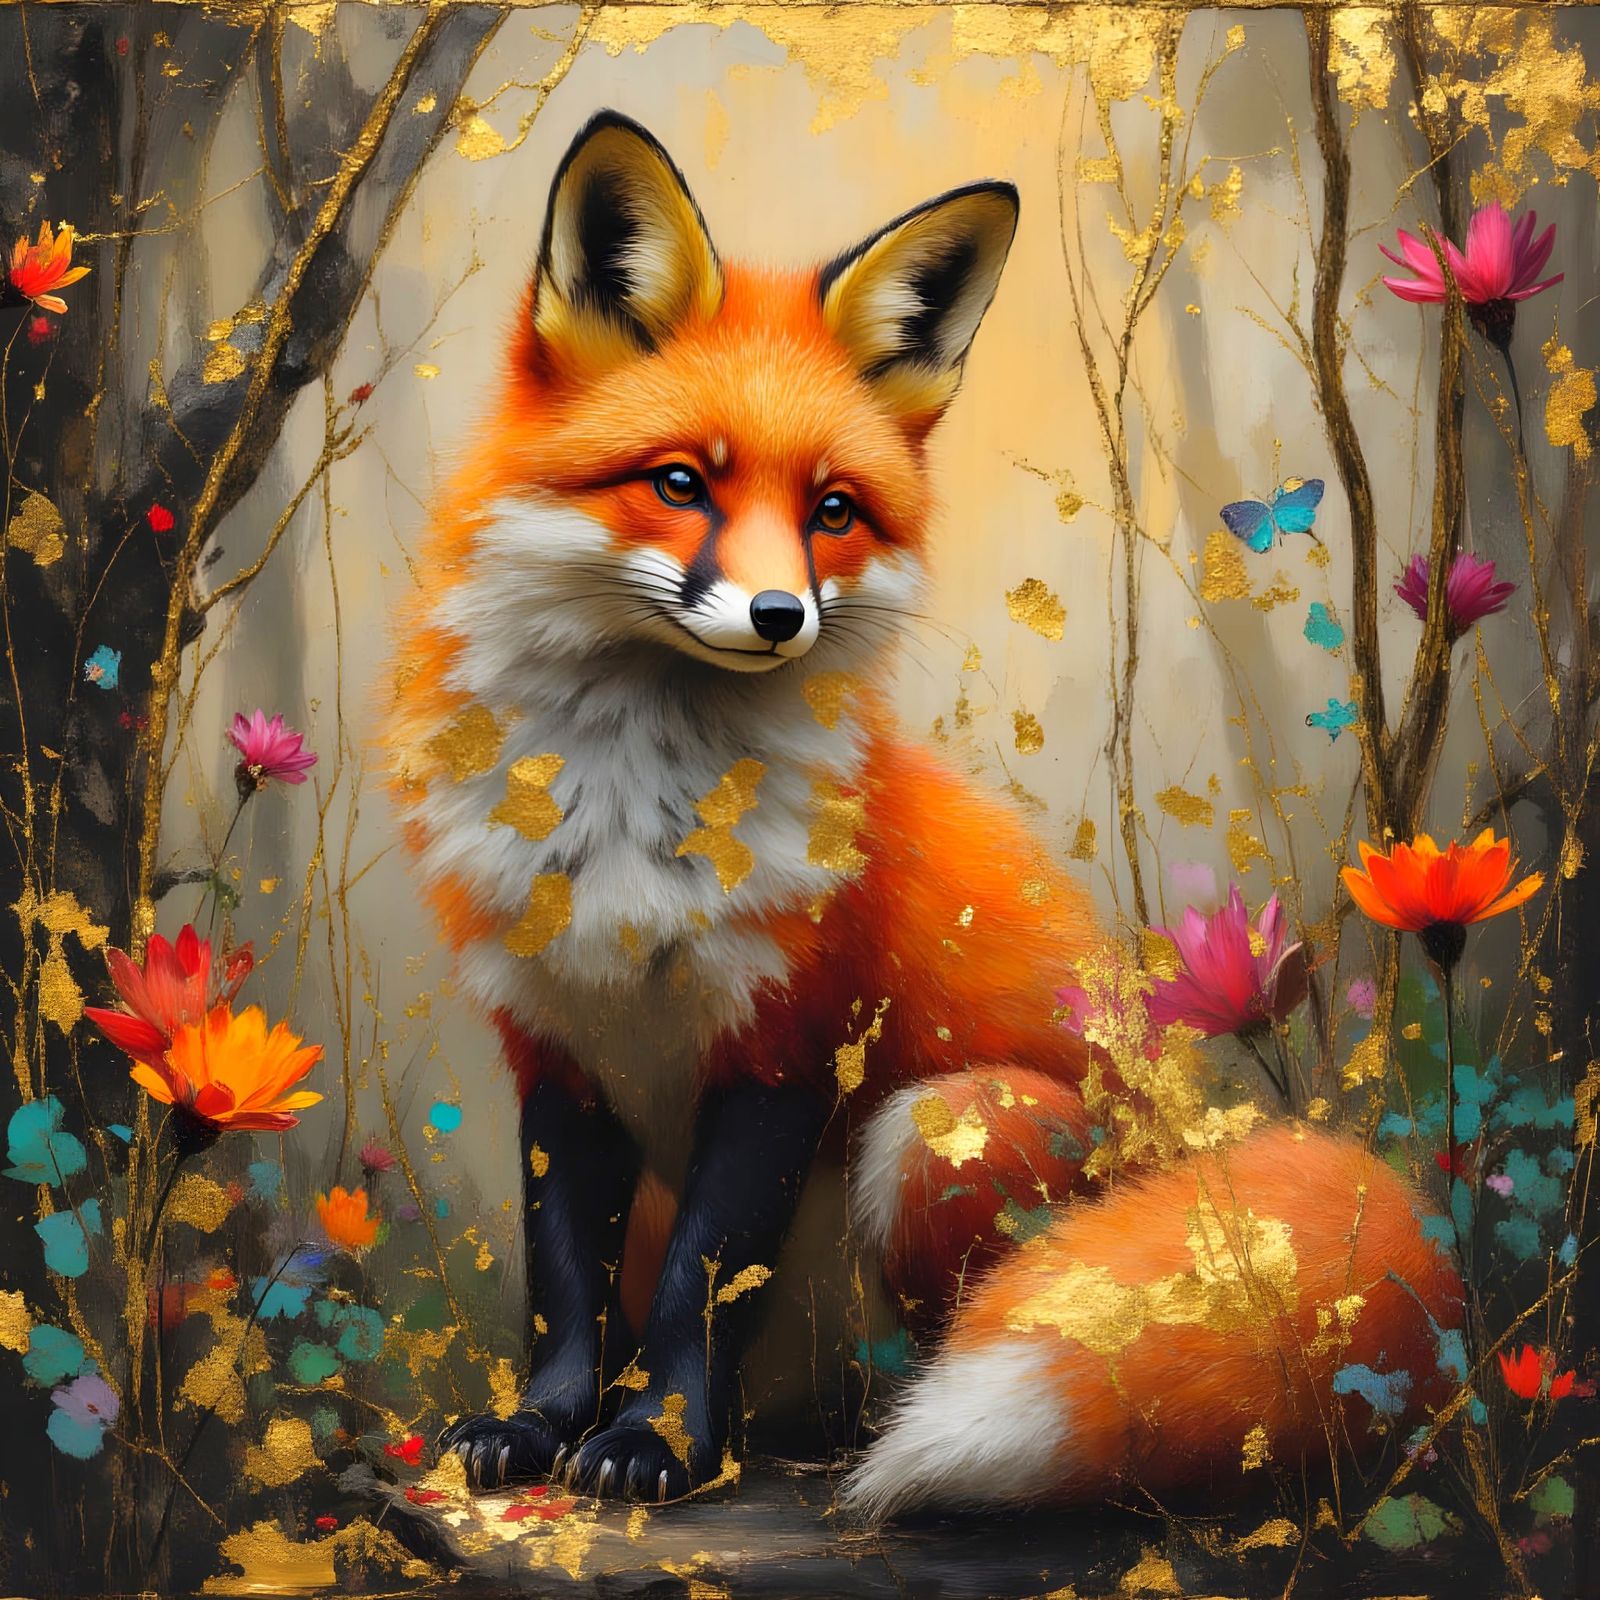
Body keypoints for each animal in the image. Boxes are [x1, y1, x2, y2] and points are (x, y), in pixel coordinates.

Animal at [384, 110, 1462, 1515]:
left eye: (831, 511)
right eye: (680, 484)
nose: (778, 616)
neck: (632, 819)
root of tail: (1192, 1140)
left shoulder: (786, 1038)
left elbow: (703, 1288)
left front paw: (657, 1442)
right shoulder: (554, 1041)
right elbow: (566, 1284)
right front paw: (542, 1425)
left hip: (939, 1132)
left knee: (930, 1332)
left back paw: (857, 1435)